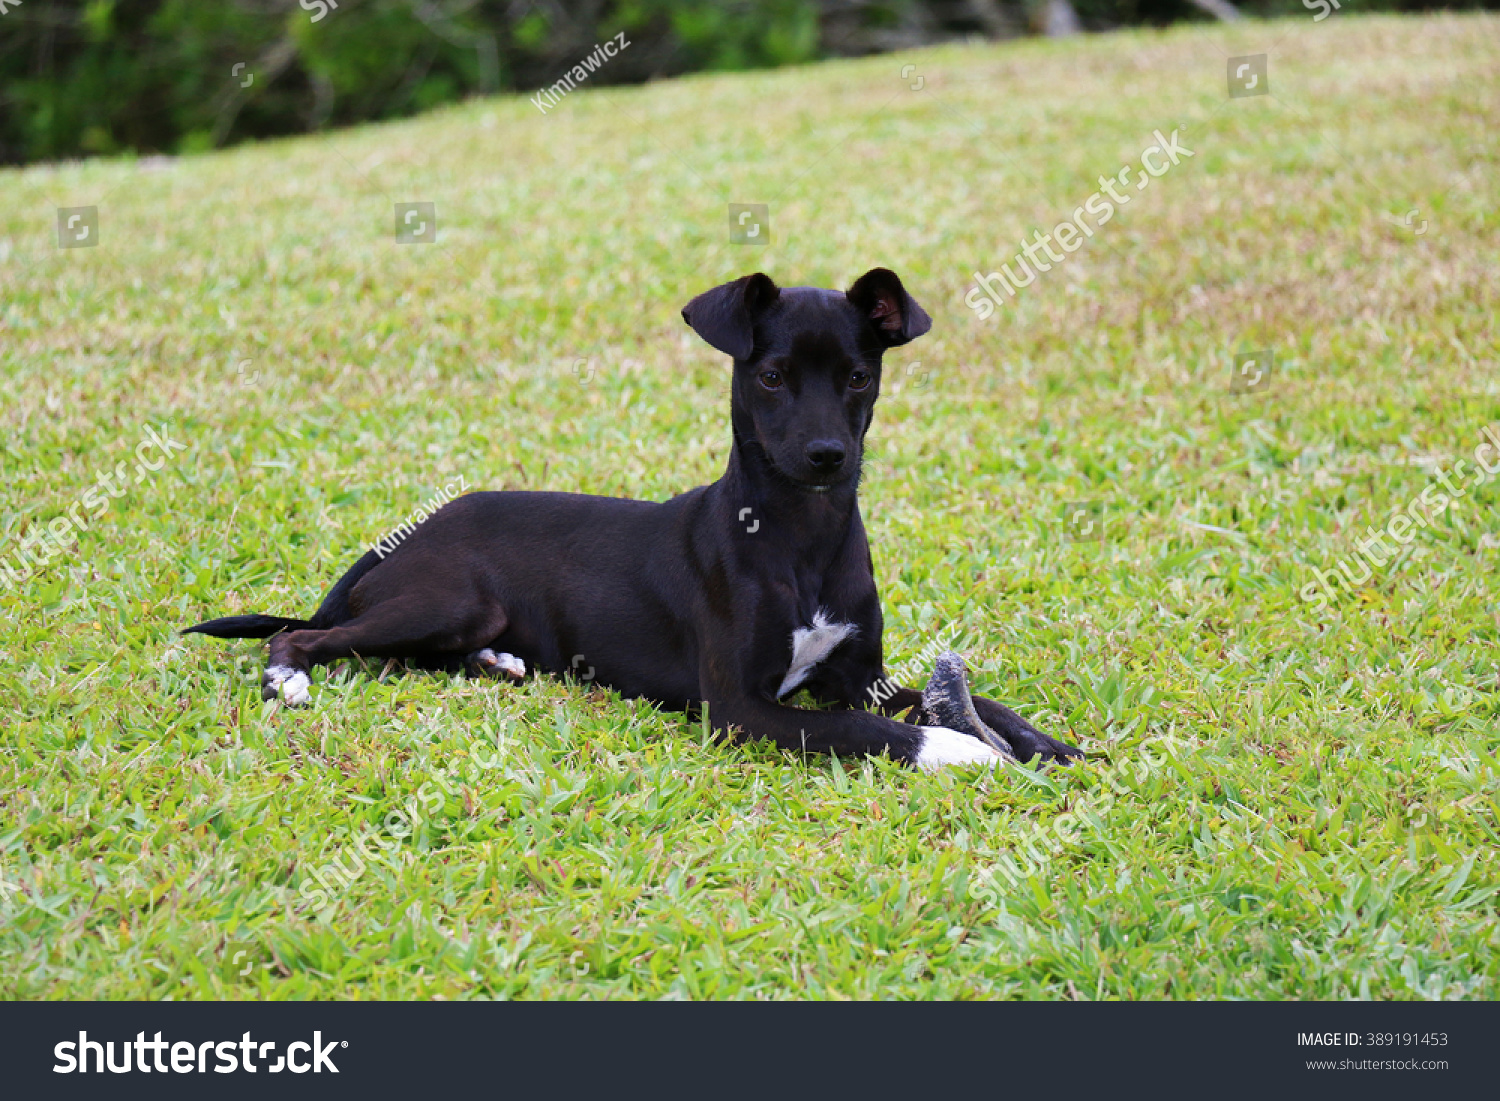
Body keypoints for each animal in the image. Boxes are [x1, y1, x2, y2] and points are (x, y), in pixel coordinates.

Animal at [187, 270, 1080, 774]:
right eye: (771, 375)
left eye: (859, 376)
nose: (827, 456)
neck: (799, 538)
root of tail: (402, 537)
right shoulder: (743, 709)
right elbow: (870, 731)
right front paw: (963, 748)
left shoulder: (860, 673)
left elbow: (968, 699)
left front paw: (1043, 741)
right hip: (445, 599)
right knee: (302, 635)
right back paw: (288, 677)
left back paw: (500, 662)